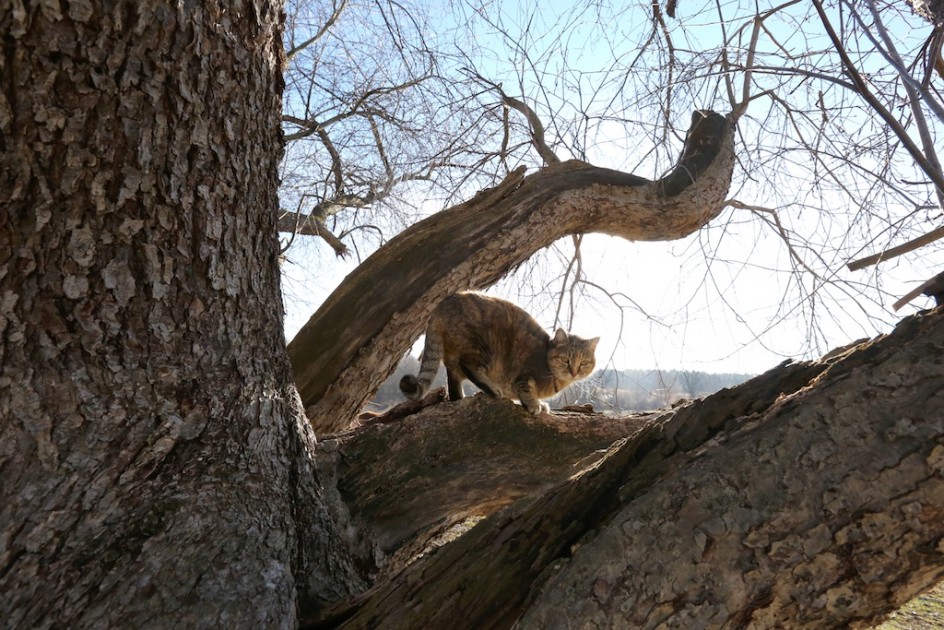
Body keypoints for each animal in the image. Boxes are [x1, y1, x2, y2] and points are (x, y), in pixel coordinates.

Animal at [398, 294, 596, 418]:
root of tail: (443, 303)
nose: (574, 371)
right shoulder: (523, 375)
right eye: (565, 359)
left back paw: (459, 397)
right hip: (482, 349)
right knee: (467, 366)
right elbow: (525, 389)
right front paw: (534, 404)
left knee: (453, 378)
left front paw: (541, 404)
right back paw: (492, 389)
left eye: (584, 363)